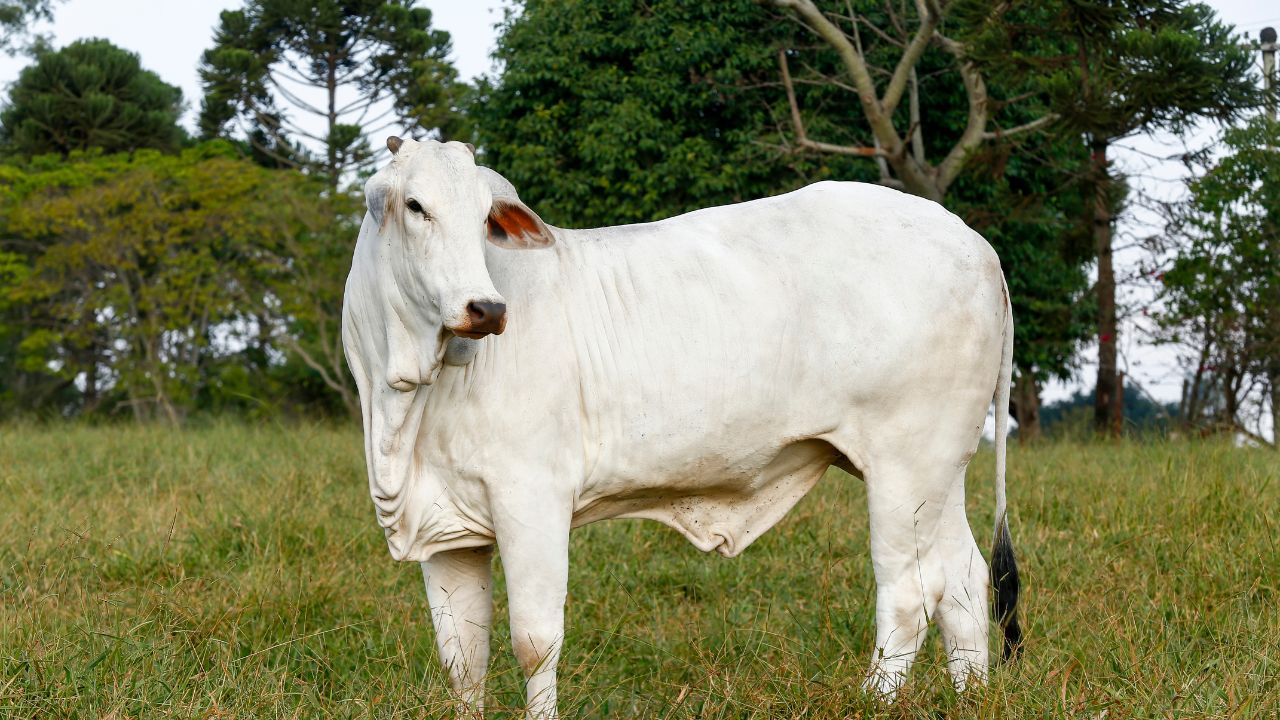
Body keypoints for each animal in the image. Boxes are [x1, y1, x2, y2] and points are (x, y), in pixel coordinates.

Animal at [341, 136, 1021, 718]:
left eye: (486, 217)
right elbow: (463, 659)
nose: (486, 308)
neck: (406, 404)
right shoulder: (448, 532)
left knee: (909, 595)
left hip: (903, 470)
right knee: (962, 581)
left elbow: (535, 641)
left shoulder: (531, 500)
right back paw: (971, 698)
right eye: (415, 206)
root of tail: (975, 242)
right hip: (938, 473)